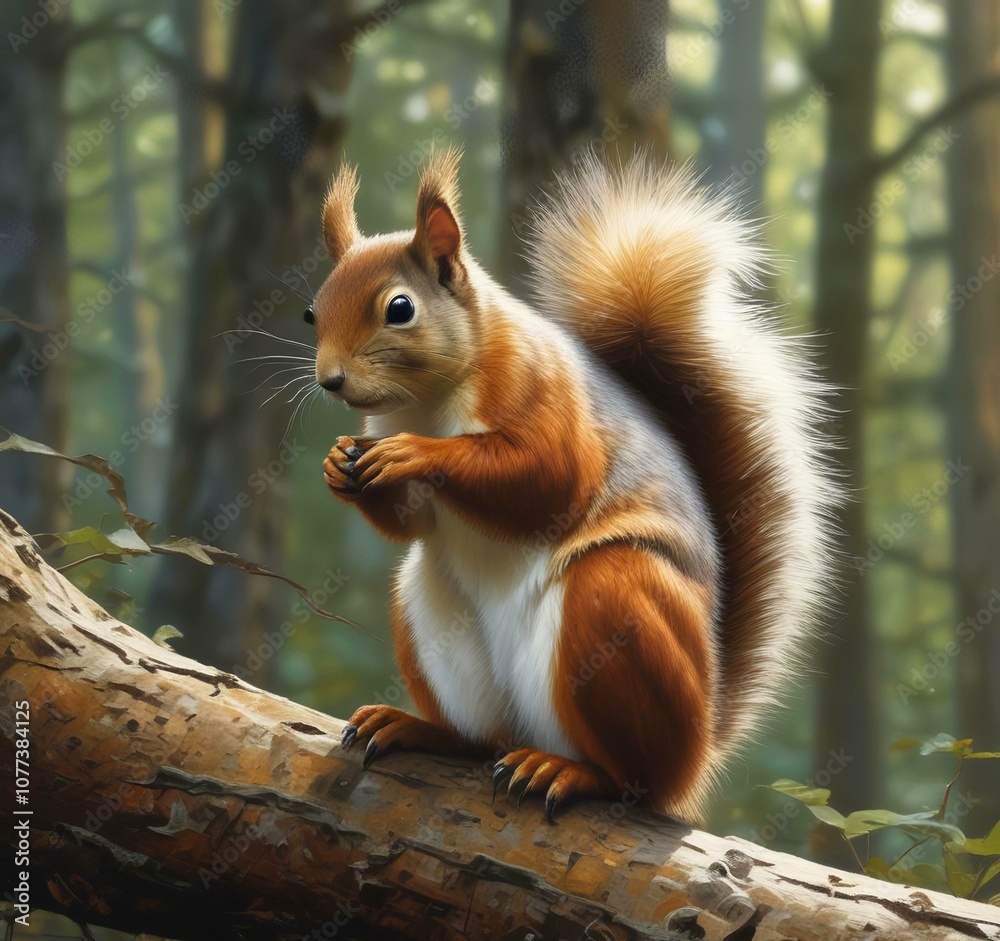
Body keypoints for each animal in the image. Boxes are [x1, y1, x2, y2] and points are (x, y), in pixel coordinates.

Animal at [312, 148, 838, 822]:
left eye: (399, 308)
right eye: (312, 310)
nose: (329, 380)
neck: (423, 402)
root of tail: (697, 757)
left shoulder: (542, 392)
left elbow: (549, 478)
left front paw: (414, 454)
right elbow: (412, 523)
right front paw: (340, 465)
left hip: (616, 603)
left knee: (633, 781)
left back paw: (569, 772)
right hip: (430, 617)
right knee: (482, 741)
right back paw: (419, 729)